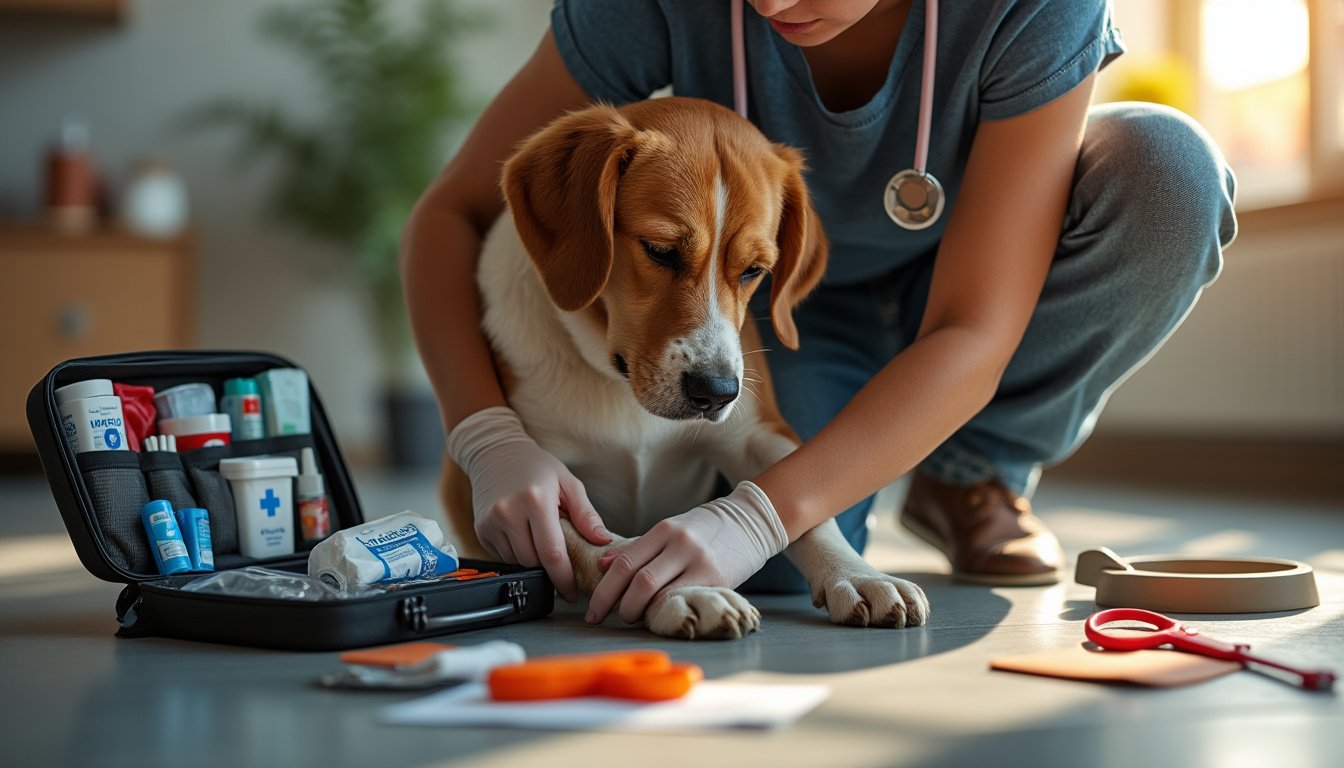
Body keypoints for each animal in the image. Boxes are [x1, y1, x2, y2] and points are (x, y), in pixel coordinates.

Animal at [446, 94, 930, 637]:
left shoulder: (756, 435)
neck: (618, 384)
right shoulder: (540, 484)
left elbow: (805, 508)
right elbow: (605, 550)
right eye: (660, 251)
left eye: (753, 270)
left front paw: (858, 574)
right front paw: (682, 589)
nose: (716, 392)